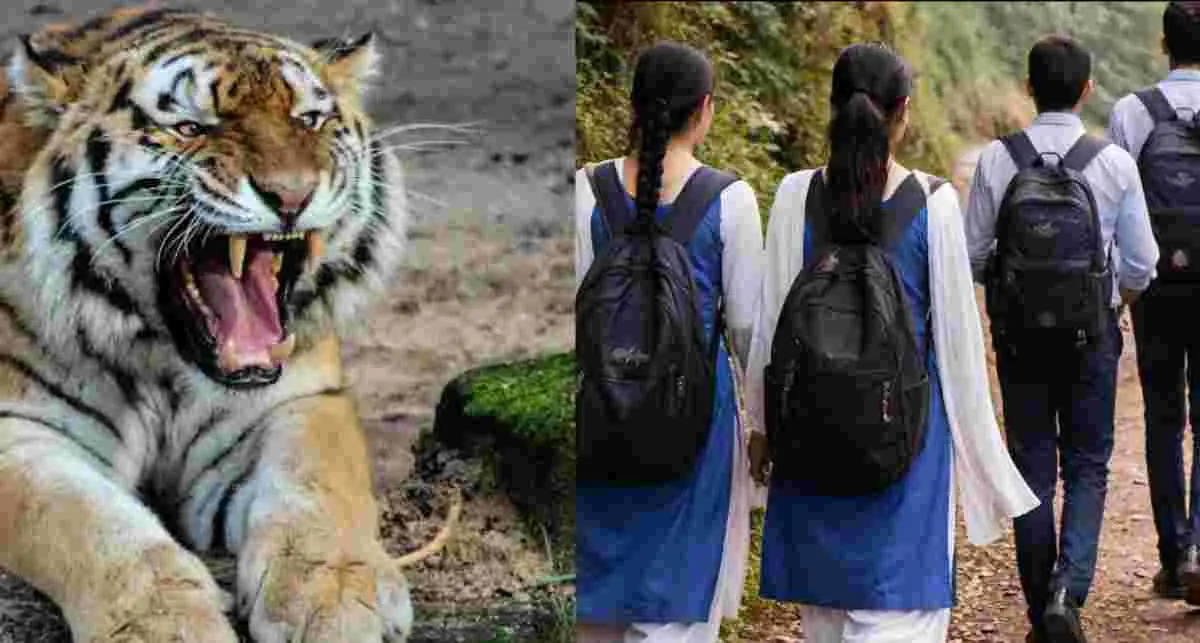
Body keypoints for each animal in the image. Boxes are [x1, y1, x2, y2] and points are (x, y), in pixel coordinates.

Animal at [0, 5, 460, 642]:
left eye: (309, 119)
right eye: (192, 127)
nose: (292, 195)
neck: (166, 363)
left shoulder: (295, 401)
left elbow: (317, 486)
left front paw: (334, 593)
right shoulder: (20, 431)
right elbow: (87, 521)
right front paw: (162, 621)